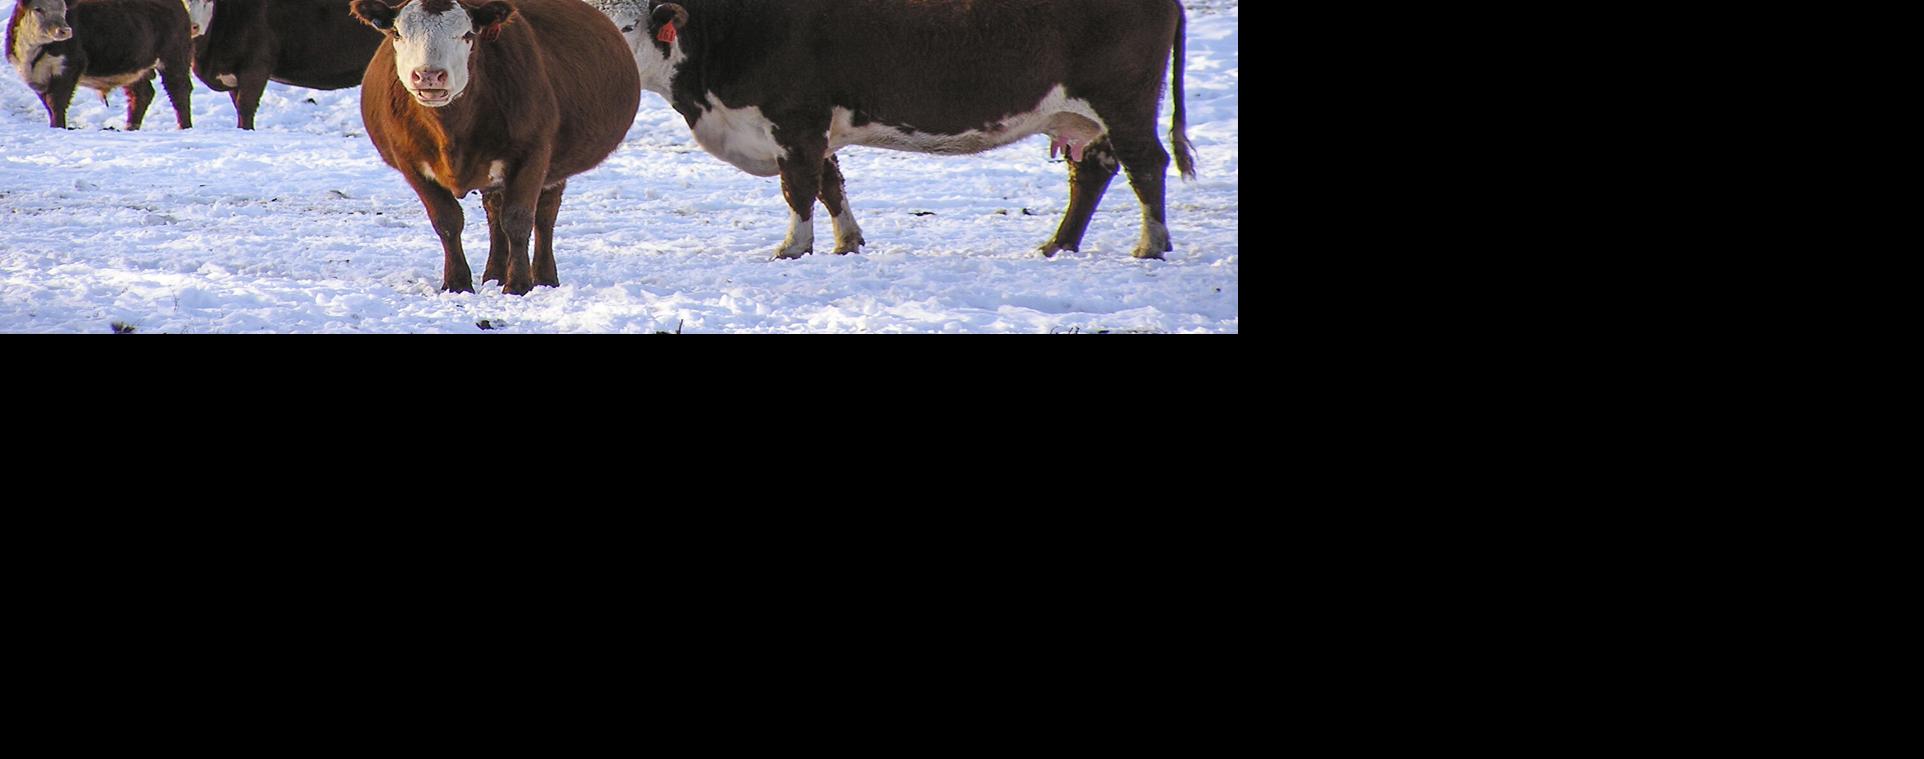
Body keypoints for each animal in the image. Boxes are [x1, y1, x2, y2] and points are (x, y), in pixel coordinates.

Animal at [7, 0, 194, 130]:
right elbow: (48, 104)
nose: (65, 30)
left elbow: (56, 102)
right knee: (141, 94)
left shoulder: (69, 66)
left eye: (64, 9)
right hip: (134, 66)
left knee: (179, 90)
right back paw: (130, 127)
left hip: (174, 56)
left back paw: (184, 127)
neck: (32, 56)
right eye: (38, 9)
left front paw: (57, 127)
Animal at [351, 0, 641, 295]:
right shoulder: (409, 162)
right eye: (397, 34)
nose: (429, 75)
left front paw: (518, 284)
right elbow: (446, 220)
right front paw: (457, 283)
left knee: (544, 215)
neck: (451, 133)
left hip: (556, 164)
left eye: (468, 34)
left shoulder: (533, 153)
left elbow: (518, 219)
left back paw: (544, 276)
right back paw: (494, 274)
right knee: (494, 212)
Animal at [592, 0, 1196, 260]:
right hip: (1086, 116)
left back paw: (1149, 244)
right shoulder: (814, 127)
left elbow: (800, 188)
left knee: (1145, 164)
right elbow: (830, 185)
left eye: (628, 24)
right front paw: (847, 242)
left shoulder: (795, 119)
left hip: (1122, 100)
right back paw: (1059, 244)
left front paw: (793, 247)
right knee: (1093, 170)